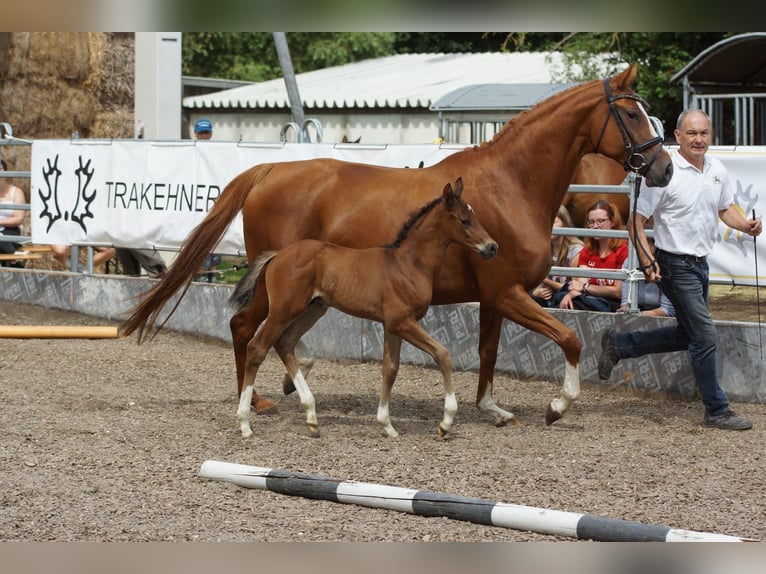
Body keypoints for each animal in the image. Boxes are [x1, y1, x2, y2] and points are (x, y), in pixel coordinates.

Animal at [231, 180, 500, 440]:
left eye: (474, 216)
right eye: (464, 220)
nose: (492, 247)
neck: (408, 264)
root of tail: (278, 255)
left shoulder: (392, 325)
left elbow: (390, 369)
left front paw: (387, 425)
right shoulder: (402, 322)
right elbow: (443, 354)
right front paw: (446, 423)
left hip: (313, 309)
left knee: (285, 342)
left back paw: (311, 416)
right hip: (283, 309)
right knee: (257, 348)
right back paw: (244, 423)